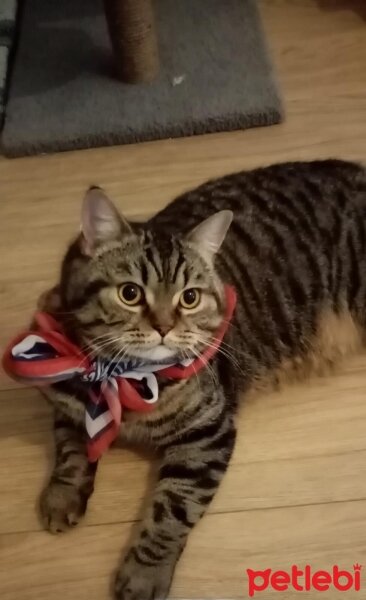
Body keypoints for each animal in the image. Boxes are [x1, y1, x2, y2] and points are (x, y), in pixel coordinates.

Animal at [38, 157, 366, 596]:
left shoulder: (207, 435)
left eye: (189, 298)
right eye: (130, 293)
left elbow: (172, 510)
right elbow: (70, 448)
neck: (123, 379)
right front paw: (62, 496)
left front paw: (144, 574)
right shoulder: (64, 391)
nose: (163, 326)